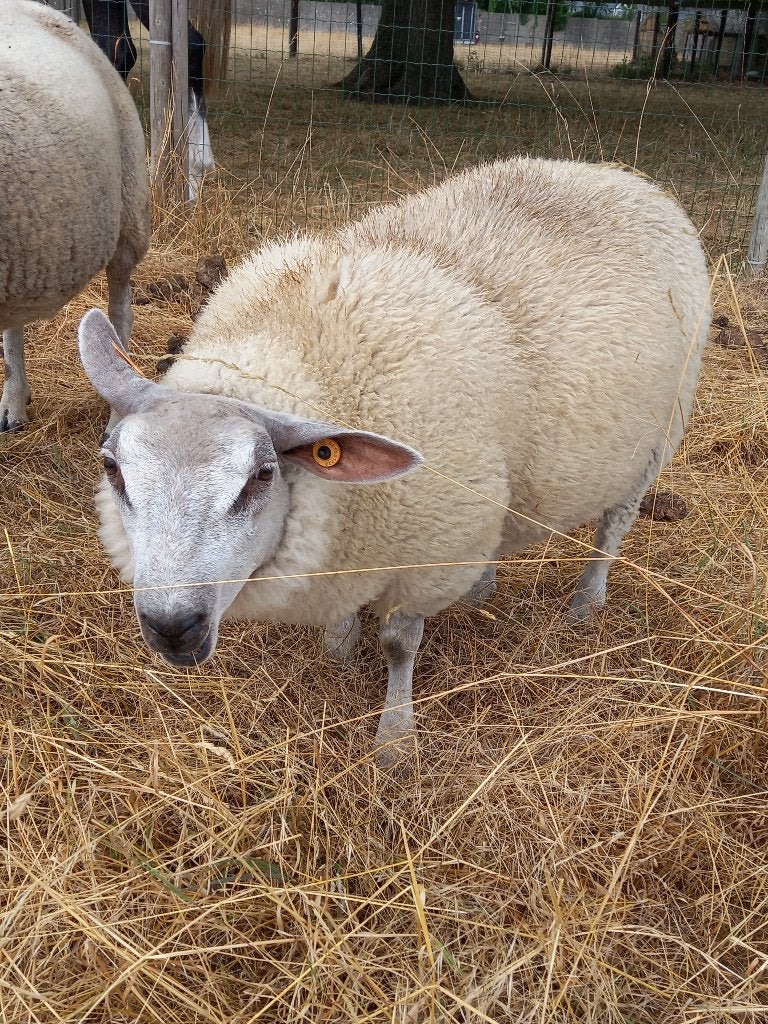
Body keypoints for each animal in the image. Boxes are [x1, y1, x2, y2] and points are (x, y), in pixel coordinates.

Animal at [77, 157, 712, 765]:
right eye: (113, 469)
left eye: (261, 475)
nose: (172, 627)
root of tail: (620, 177)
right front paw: (338, 648)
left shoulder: (425, 555)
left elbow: (399, 645)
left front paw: (395, 740)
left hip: (657, 436)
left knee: (615, 525)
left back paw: (586, 602)